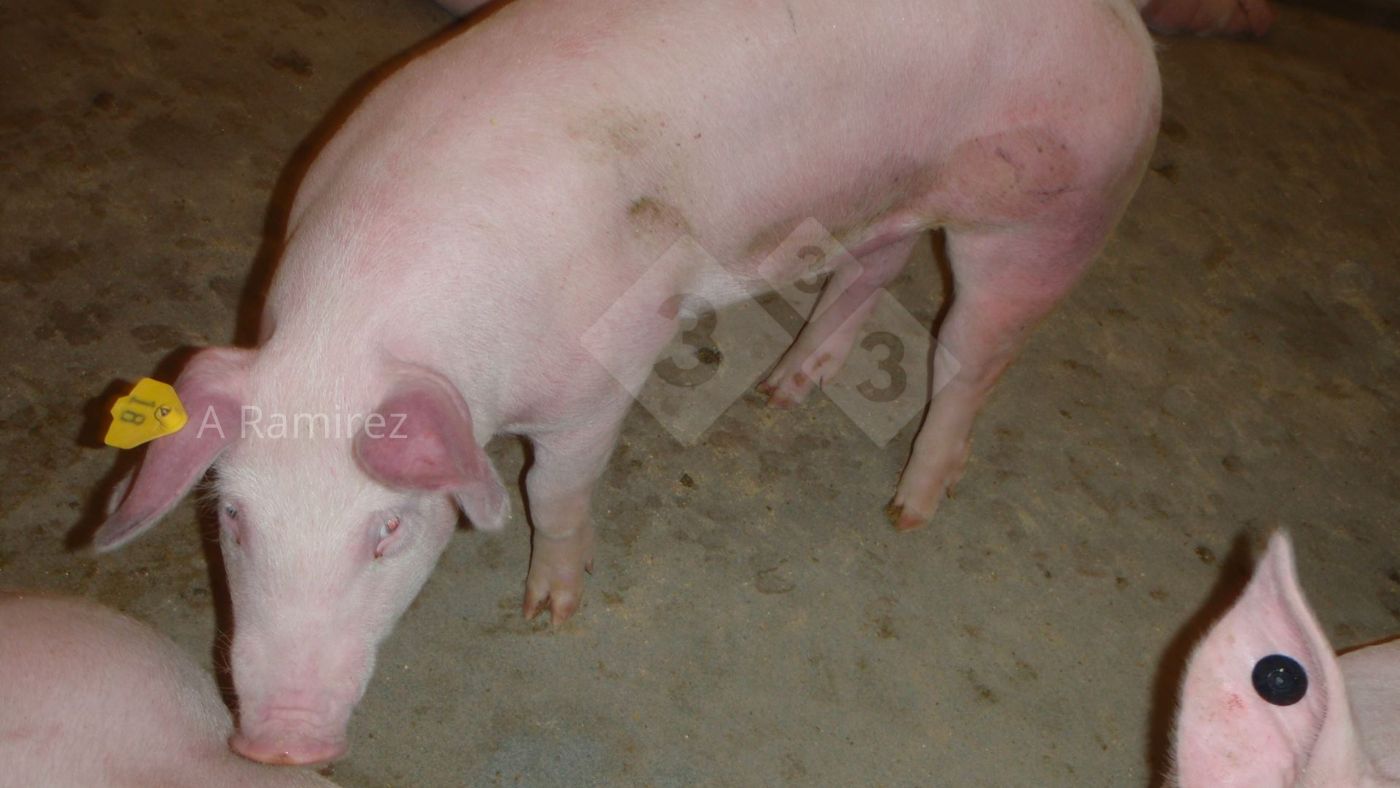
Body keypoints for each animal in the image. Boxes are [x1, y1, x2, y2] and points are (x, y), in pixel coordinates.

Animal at [92, 0, 1162, 764]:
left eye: (387, 529)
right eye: (234, 519)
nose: (274, 746)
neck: (353, 331)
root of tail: (1125, 30)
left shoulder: (607, 365)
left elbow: (552, 490)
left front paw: (548, 614)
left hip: (1055, 213)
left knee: (969, 353)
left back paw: (908, 508)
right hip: (881, 201)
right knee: (877, 261)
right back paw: (782, 390)